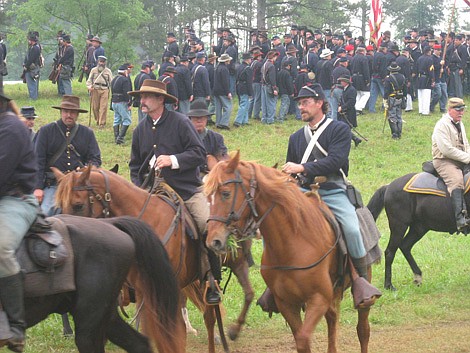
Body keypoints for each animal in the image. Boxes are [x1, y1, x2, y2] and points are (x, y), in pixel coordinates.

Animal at [204, 153, 372, 352]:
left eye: (226, 193)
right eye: (207, 196)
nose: (213, 241)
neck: (293, 244)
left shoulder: (318, 299)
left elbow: (304, 338)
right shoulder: (286, 303)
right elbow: (301, 341)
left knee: (363, 329)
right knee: (332, 319)